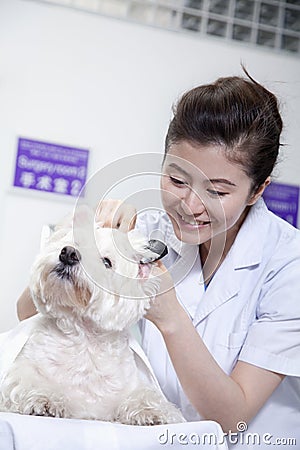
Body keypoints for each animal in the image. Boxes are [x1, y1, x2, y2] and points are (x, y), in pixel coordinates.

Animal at [0, 211, 184, 426]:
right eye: (74, 243)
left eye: (106, 262)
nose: (68, 253)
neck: (84, 340)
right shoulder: (18, 373)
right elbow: (28, 381)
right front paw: (46, 400)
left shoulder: (127, 388)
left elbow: (145, 395)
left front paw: (152, 412)